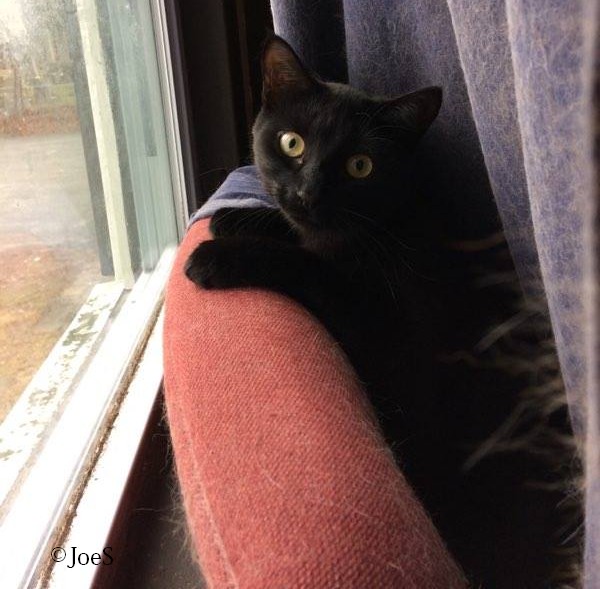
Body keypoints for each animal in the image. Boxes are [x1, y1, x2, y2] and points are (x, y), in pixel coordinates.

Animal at [184, 36, 578, 588]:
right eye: (292, 144)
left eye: (360, 166)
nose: (307, 193)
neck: (388, 223)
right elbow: (305, 237)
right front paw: (238, 218)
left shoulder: (388, 331)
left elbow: (312, 266)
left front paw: (221, 255)